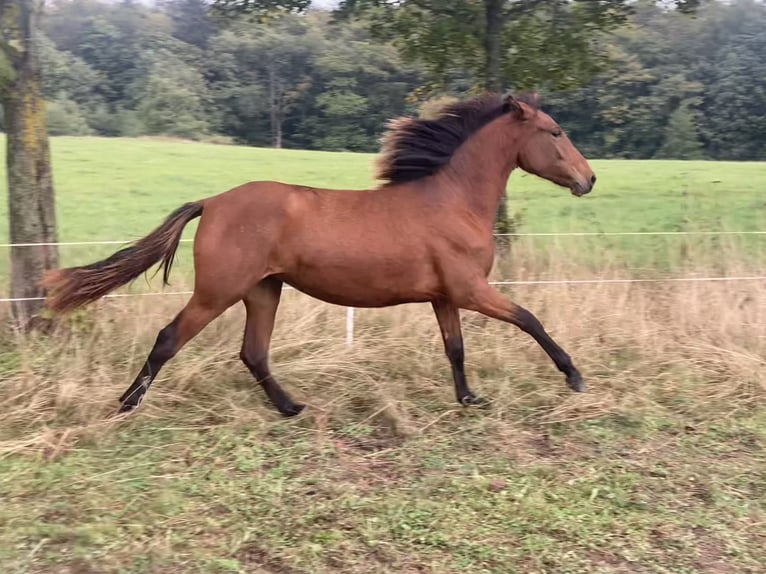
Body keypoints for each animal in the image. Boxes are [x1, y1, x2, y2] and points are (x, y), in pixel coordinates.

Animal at [43, 93, 600, 418]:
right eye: (554, 132)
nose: (589, 179)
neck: (453, 200)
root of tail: (213, 202)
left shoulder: (445, 296)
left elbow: (455, 348)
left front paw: (468, 398)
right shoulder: (470, 289)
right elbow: (530, 318)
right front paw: (574, 376)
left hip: (263, 291)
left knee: (253, 352)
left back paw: (290, 407)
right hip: (218, 291)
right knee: (168, 339)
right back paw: (126, 405)